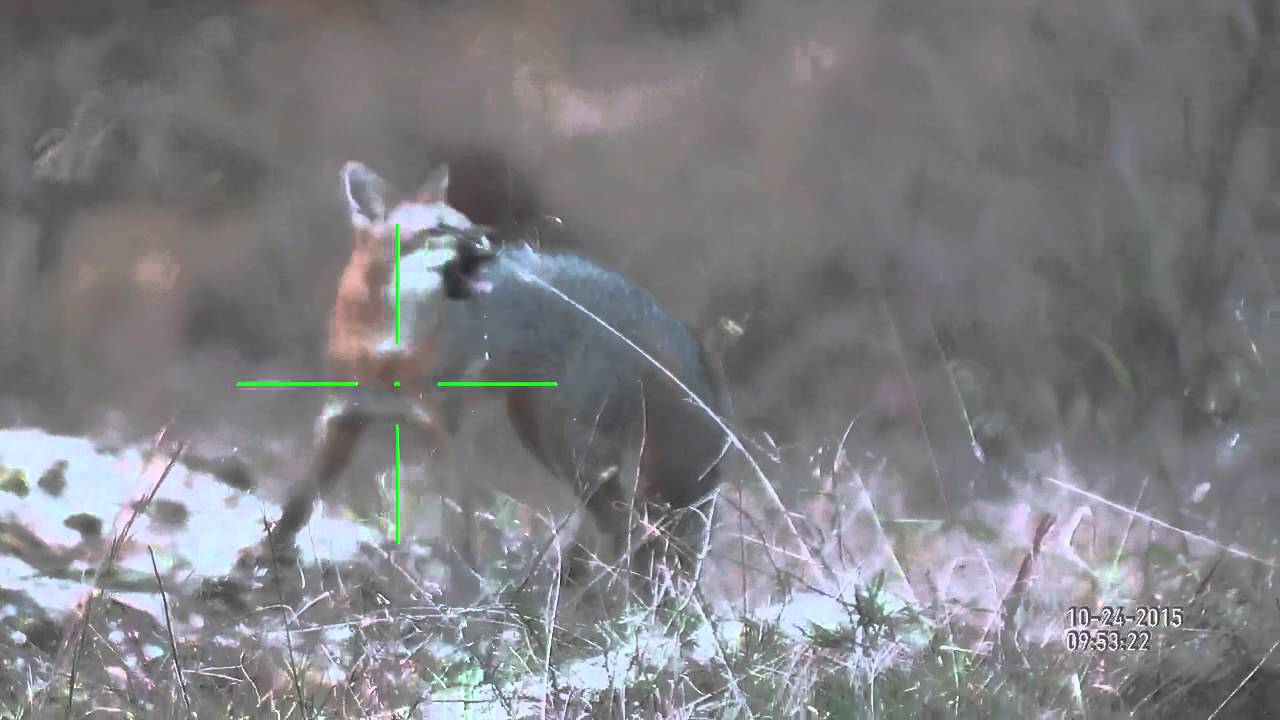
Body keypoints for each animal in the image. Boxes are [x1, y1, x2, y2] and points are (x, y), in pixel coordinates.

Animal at [267, 160, 731, 586]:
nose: (491, 241)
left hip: (562, 443)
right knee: (610, 523)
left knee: (624, 525)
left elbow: (462, 530)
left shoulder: (447, 435)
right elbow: (298, 502)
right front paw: (267, 557)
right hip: (546, 436)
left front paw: (466, 591)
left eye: (467, 225)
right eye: (438, 231)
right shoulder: (342, 418)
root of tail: (660, 311)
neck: (388, 350)